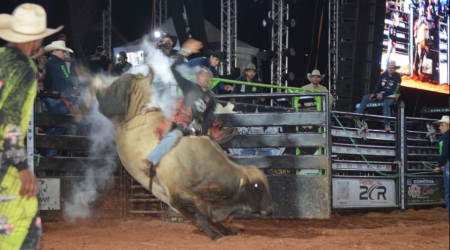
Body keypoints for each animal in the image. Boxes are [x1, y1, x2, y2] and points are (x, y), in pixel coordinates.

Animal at [76, 65, 274, 239]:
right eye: (256, 186)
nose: (270, 210)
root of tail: (138, 79)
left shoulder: (202, 202)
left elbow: (212, 218)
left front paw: (227, 231)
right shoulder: (177, 198)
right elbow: (200, 218)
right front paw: (214, 236)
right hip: (113, 102)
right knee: (99, 90)